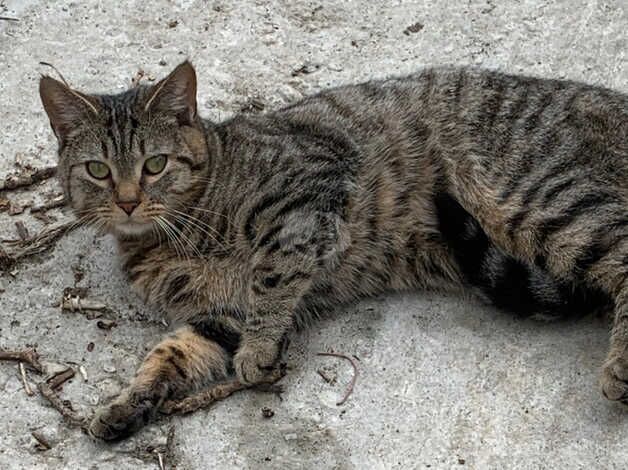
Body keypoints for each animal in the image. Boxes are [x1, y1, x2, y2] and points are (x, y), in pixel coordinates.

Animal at [36, 59, 624, 440]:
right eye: (98, 170)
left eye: (155, 165)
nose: (128, 201)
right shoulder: (221, 311)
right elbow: (173, 353)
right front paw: (129, 403)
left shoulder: (312, 190)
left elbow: (273, 274)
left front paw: (257, 351)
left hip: (536, 196)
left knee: (621, 254)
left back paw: (621, 368)